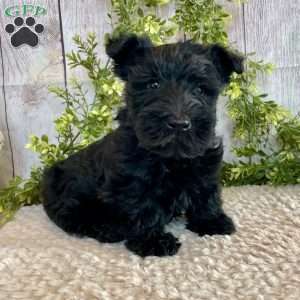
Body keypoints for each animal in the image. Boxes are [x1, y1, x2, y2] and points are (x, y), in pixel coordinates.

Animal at [42, 34, 244, 256]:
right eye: (153, 85)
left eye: (200, 89)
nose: (179, 123)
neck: (171, 157)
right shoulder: (132, 181)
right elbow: (143, 207)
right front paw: (153, 241)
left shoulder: (204, 167)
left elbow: (206, 194)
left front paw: (212, 221)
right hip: (70, 194)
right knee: (72, 216)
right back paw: (108, 229)